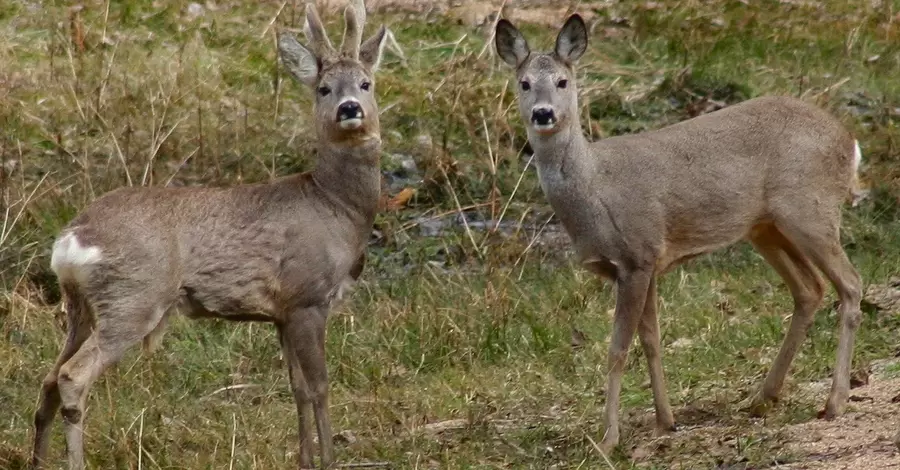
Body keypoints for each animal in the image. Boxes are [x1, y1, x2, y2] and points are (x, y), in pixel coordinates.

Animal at [27, 1, 386, 468]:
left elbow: (298, 388)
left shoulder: (282, 312)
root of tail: (72, 239)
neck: (335, 206)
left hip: (81, 307)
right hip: (132, 297)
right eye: (324, 89)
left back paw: (37, 458)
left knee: (49, 378)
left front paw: (305, 459)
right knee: (72, 376)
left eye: (366, 82)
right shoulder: (307, 296)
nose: (349, 108)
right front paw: (328, 460)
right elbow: (320, 386)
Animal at [500, 13, 864, 452]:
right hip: (766, 228)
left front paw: (608, 438)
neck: (595, 190)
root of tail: (849, 141)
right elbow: (651, 341)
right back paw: (762, 398)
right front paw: (665, 421)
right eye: (523, 83)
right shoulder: (646, 264)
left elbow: (618, 349)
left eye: (562, 81)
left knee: (851, 283)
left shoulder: (637, 254)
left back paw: (834, 402)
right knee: (810, 289)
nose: (542, 114)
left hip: (810, 210)